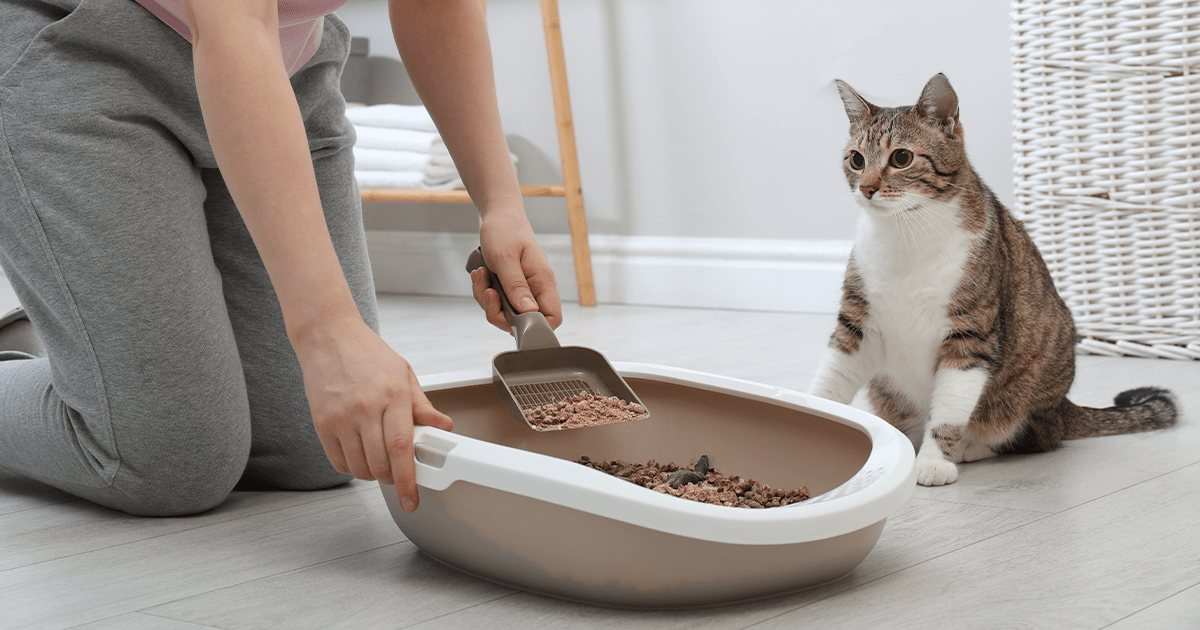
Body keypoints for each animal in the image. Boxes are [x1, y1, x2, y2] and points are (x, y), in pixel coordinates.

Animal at [811, 73, 1176, 487]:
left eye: (901, 158)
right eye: (856, 160)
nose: (867, 188)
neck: (905, 234)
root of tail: (1064, 406)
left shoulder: (971, 332)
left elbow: (951, 407)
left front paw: (935, 461)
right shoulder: (856, 322)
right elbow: (829, 380)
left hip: (1029, 388)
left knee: (1036, 436)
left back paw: (970, 447)